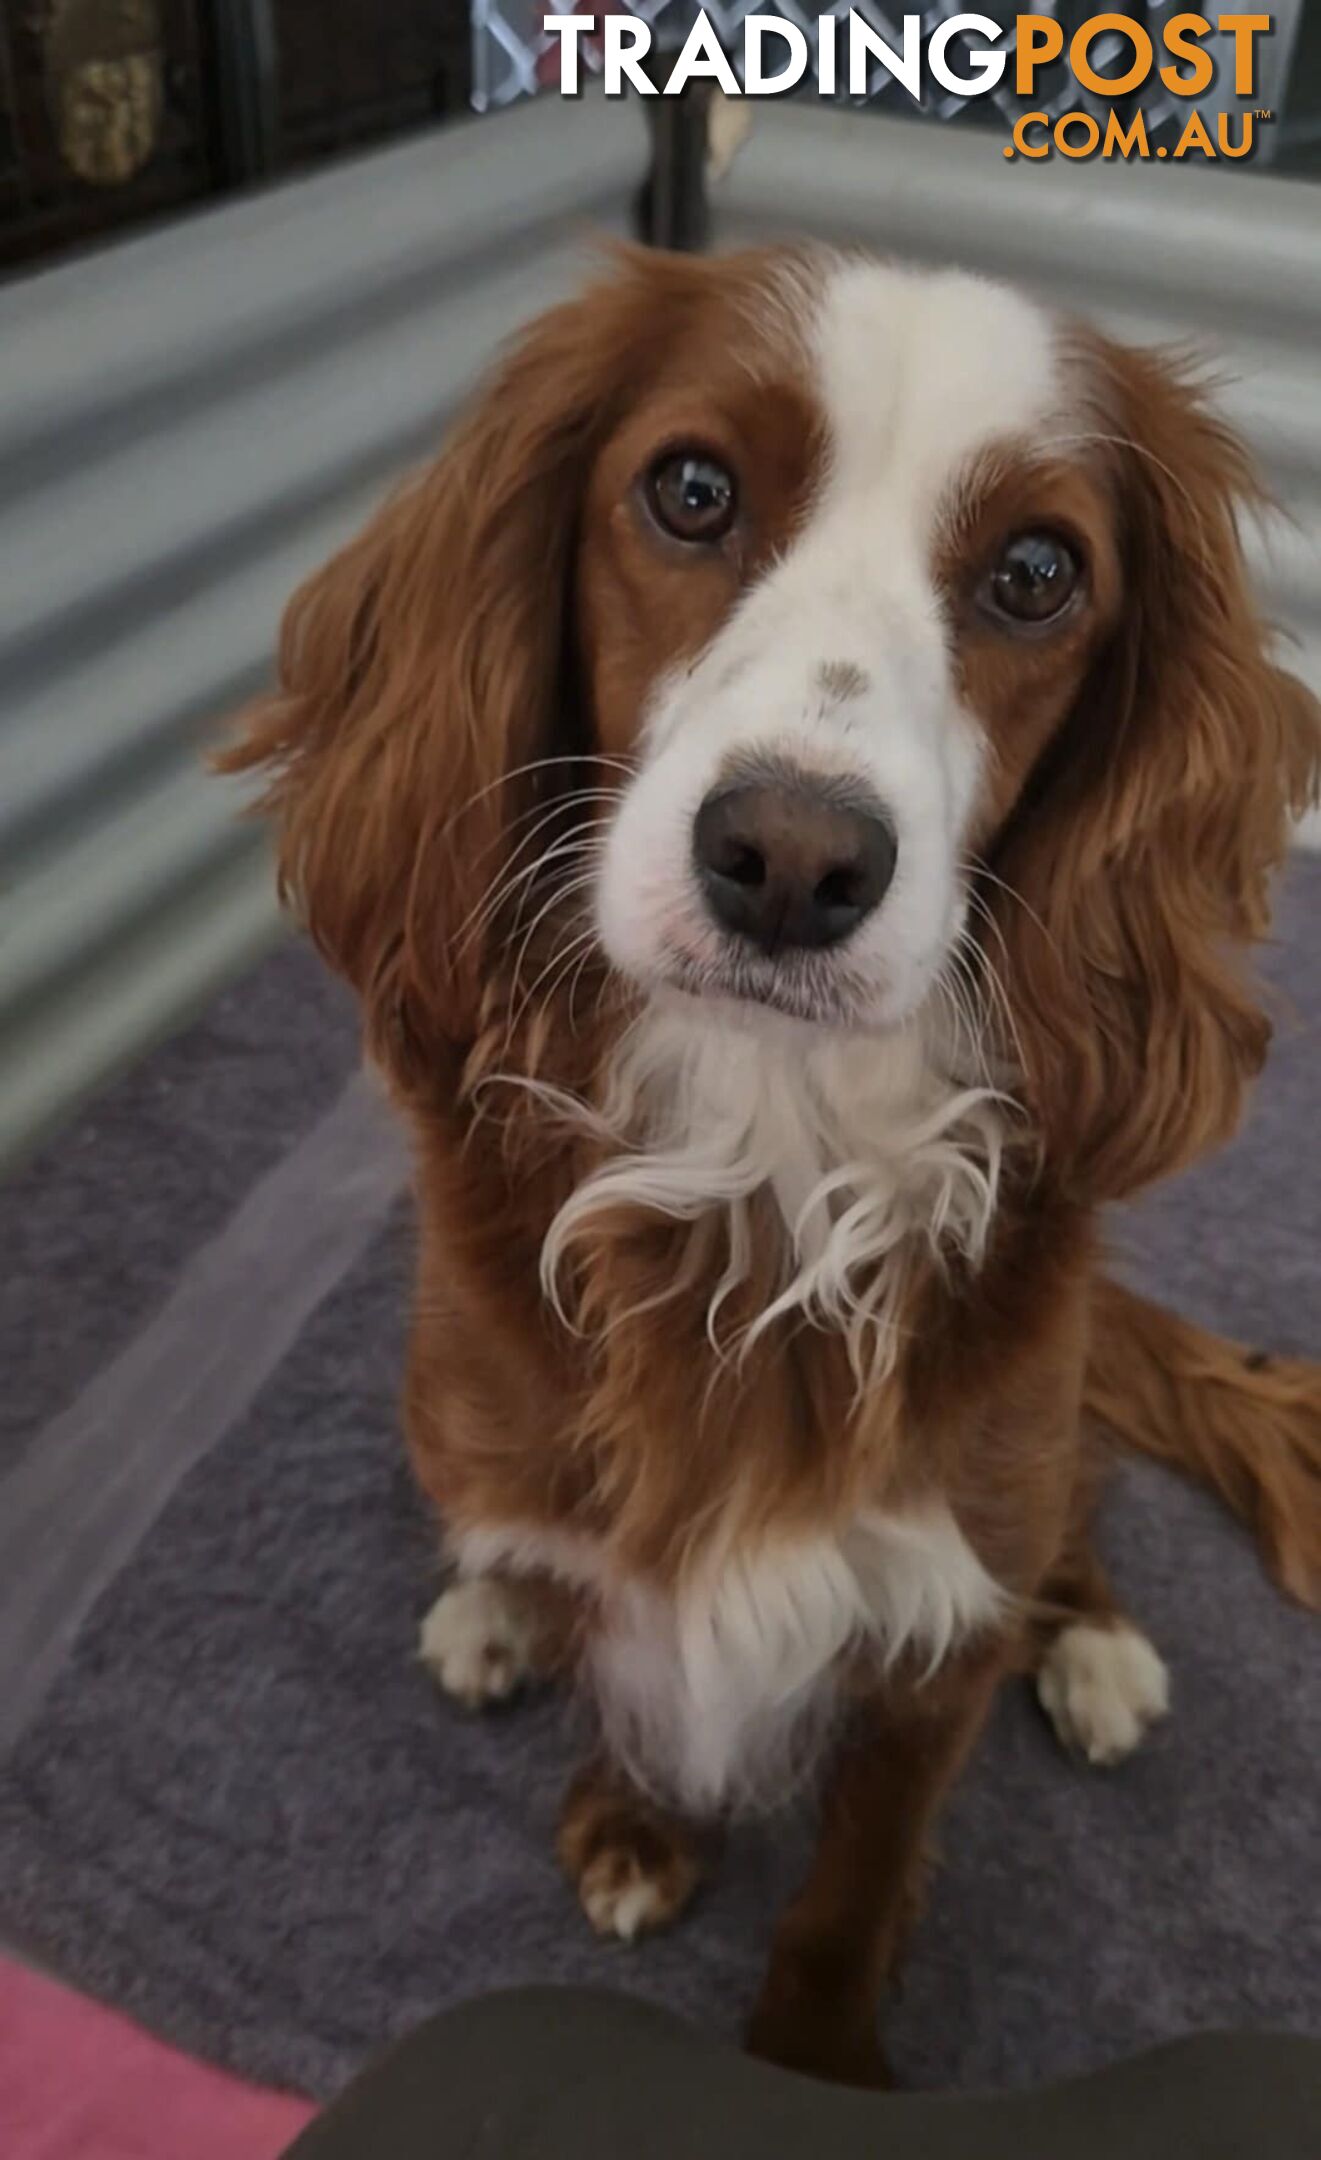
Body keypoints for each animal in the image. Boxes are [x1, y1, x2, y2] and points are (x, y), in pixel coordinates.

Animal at [222, 245, 1312, 2082]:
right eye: (690, 489)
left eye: (1037, 574)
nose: (791, 861)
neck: (771, 1156)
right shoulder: (600, 1510)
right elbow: (631, 1654)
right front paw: (638, 1824)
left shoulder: (937, 1628)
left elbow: (862, 1865)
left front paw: (812, 2050)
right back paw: (491, 1605)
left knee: (1072, 1520)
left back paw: (1094, 1645)